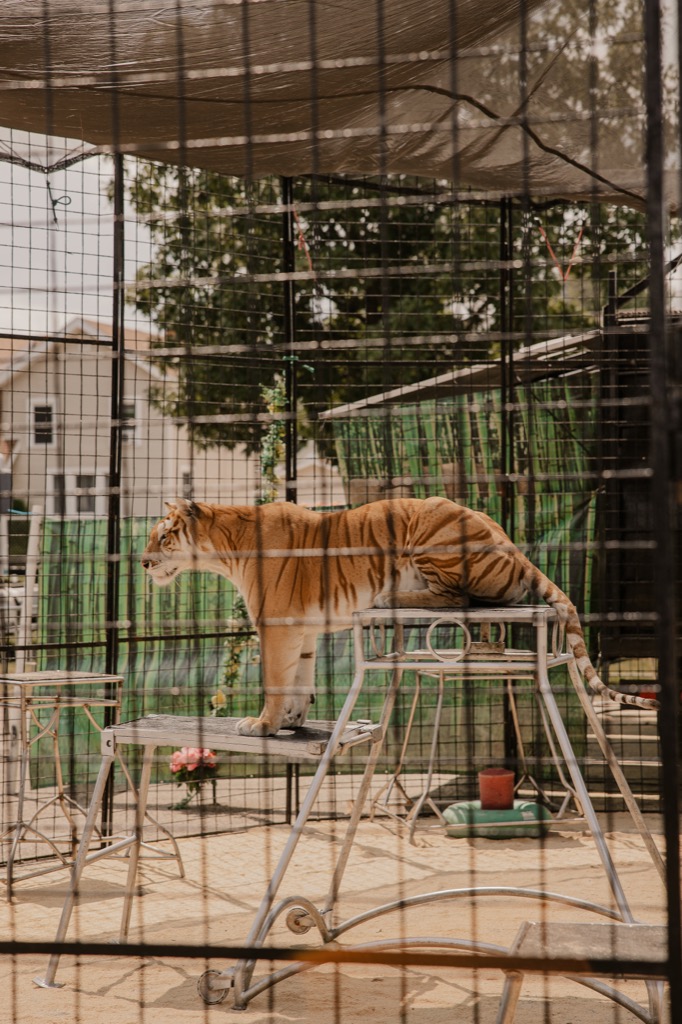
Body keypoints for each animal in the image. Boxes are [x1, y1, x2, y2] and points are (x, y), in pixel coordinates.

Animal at [140, 496, 658, 736]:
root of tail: (509, 540)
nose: (143, 563)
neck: (225, 550)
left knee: (457, 600)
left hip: (428, 533)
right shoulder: (301, 631)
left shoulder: (276, 625)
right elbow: (299, 679)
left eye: (163, 536)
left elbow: (275, 678)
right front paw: (290, 721)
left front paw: (262, 724)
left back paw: (389, 598)